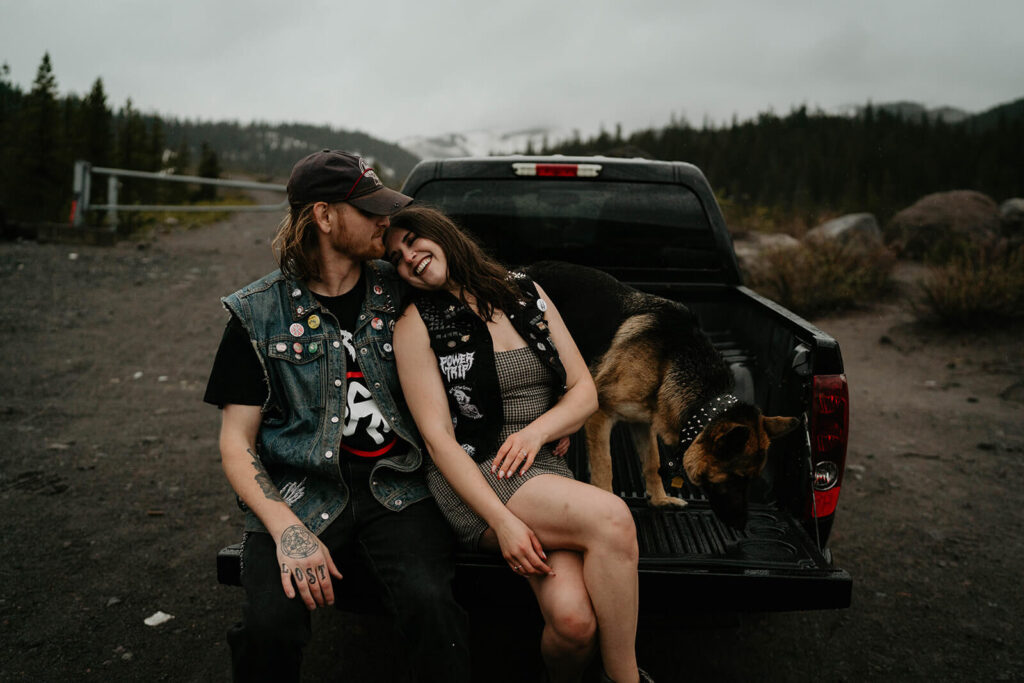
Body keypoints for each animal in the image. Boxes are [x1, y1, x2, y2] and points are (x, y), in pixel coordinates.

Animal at [528, 262, 798, 528]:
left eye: (752, 480)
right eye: (735, 478)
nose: (742, 526)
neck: (671, 360)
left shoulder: (642, 421)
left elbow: (652, 462)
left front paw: (659, 499)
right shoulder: (600, 414)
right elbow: (605, 466)